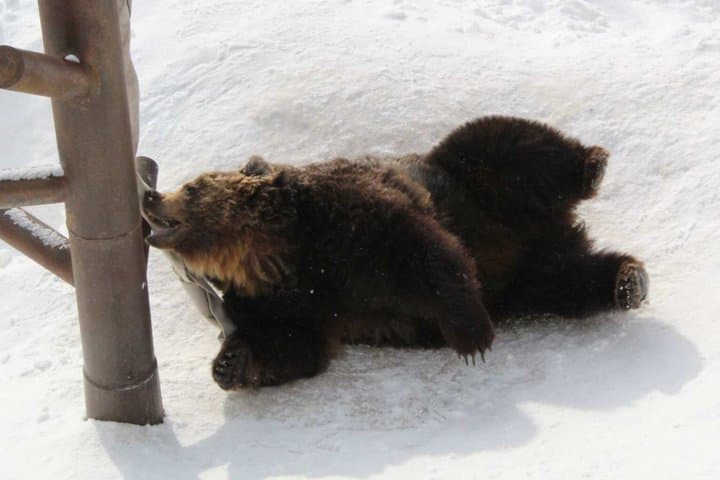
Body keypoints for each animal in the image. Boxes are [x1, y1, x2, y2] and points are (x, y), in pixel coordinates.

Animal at [142, 115, 648, 390]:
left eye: (191, 186)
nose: (151, 197)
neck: (273, 253)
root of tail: (550, 232)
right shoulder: (283, 301)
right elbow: (292, 345)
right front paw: (229, 364)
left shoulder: (345, 220)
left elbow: (423, 254)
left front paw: (472, 338)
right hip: (526, 282)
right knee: (568, 281)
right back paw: (626, 280)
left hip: (473, 185)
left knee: (503, 144)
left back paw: (592, 165)